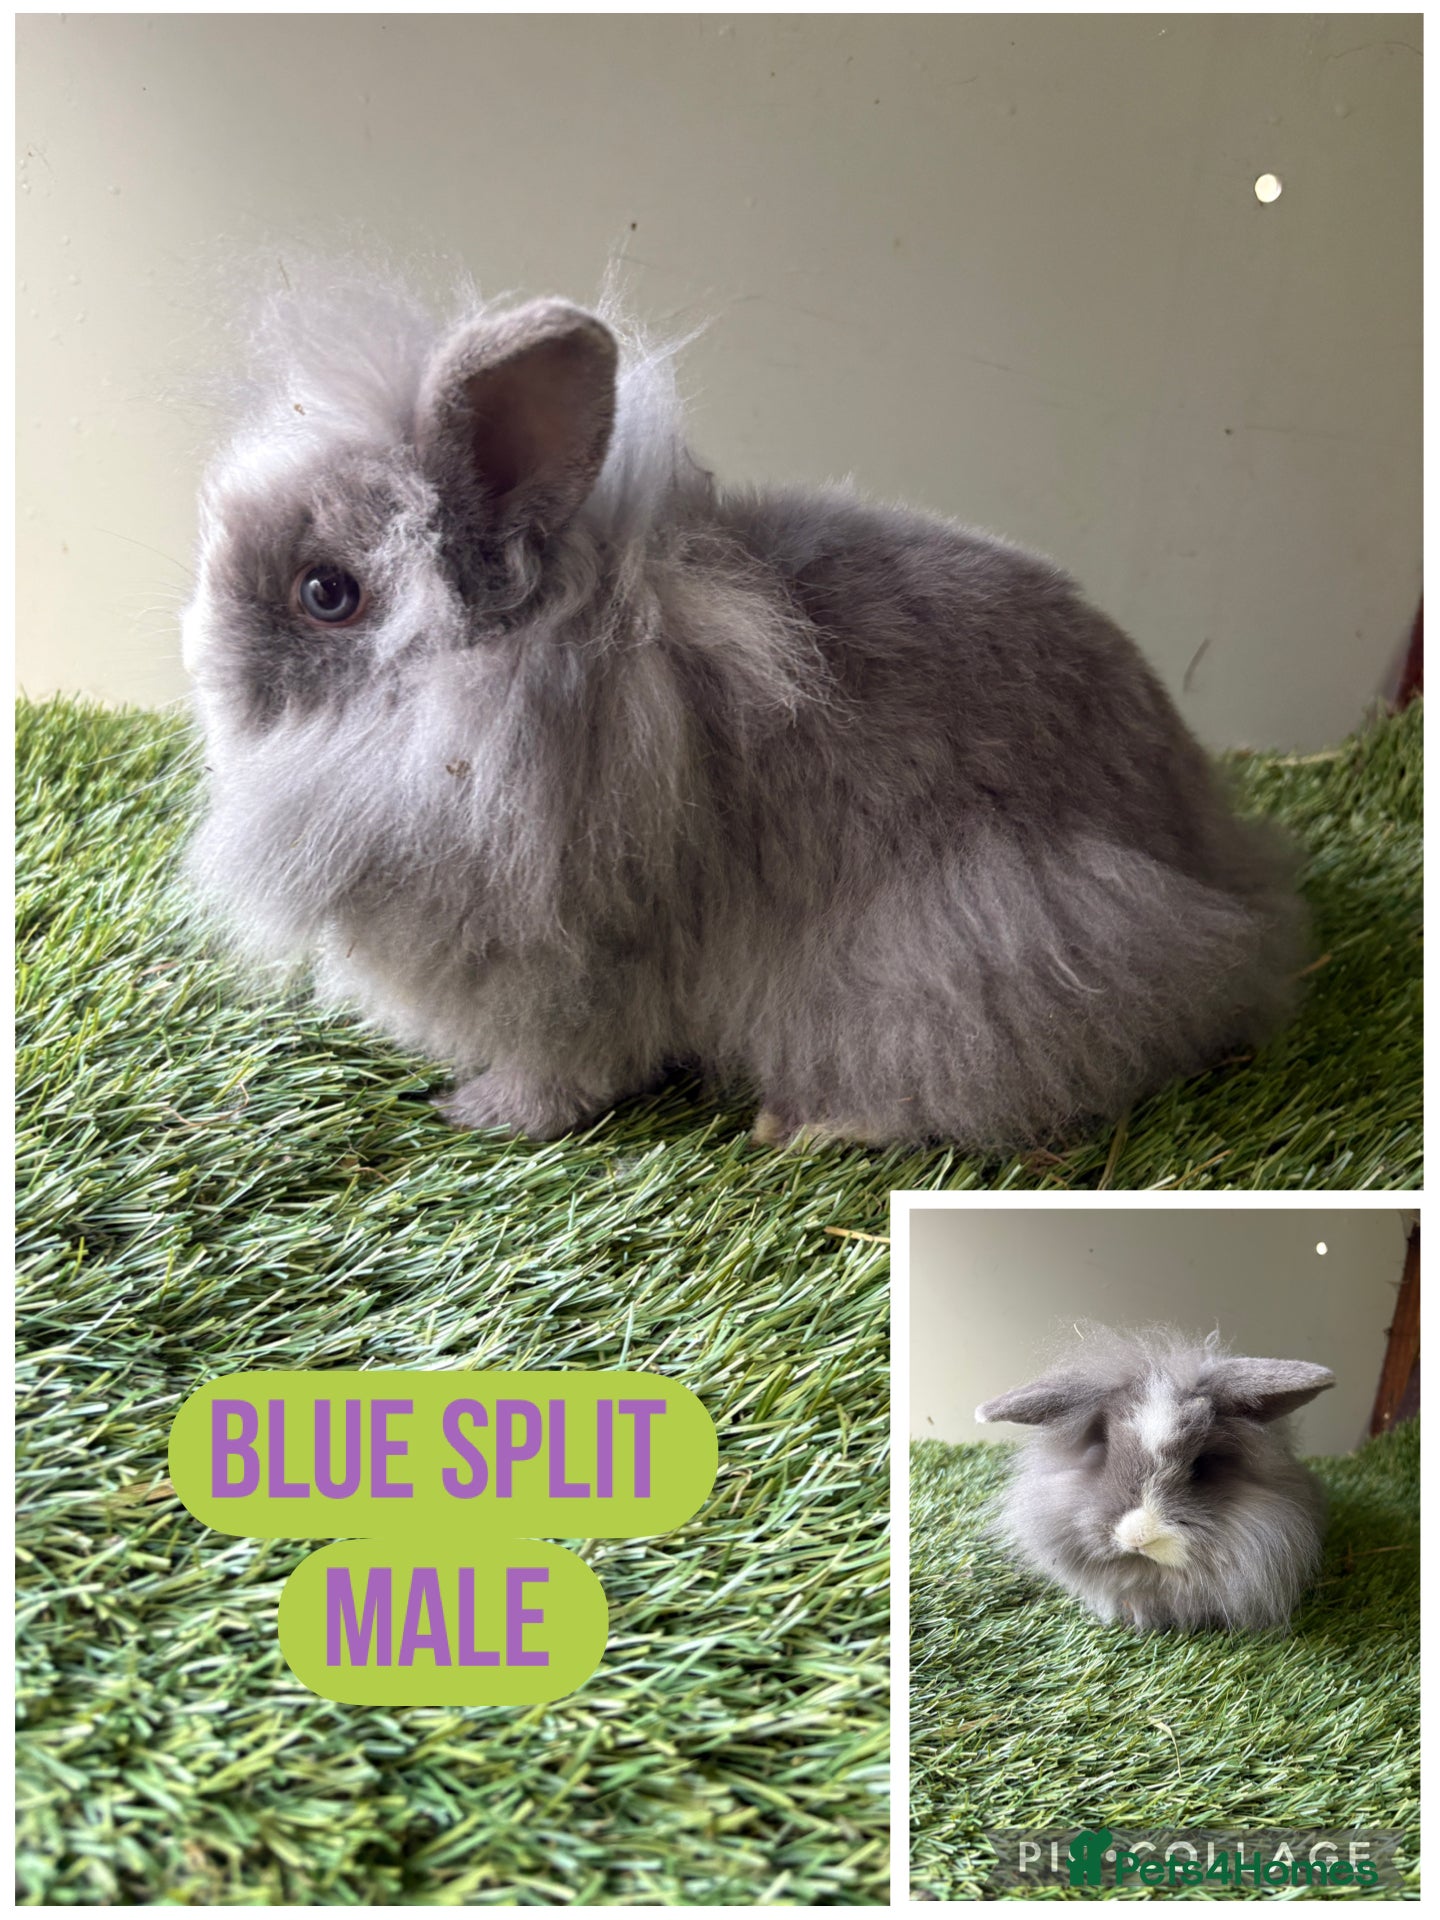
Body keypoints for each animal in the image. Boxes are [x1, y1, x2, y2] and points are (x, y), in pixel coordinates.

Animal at [181, 266, 1307, 1148]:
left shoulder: (576, 966)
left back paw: (811, 1124)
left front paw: (483, 1113)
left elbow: (568, 1072)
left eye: (326, 593)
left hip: (967, 956)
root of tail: (1228, 891)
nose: (200, 658)